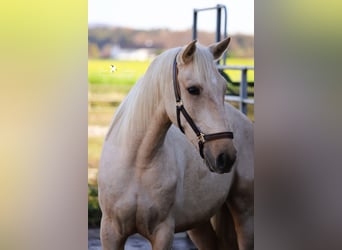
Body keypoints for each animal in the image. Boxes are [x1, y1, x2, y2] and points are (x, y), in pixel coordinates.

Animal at [97, 37, 252, 250]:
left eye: (223, 89)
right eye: (193, 90)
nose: (226, 156)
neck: (137, 164)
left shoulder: (163, 232)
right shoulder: (110, 231)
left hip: (244, 213)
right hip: (199, 223)